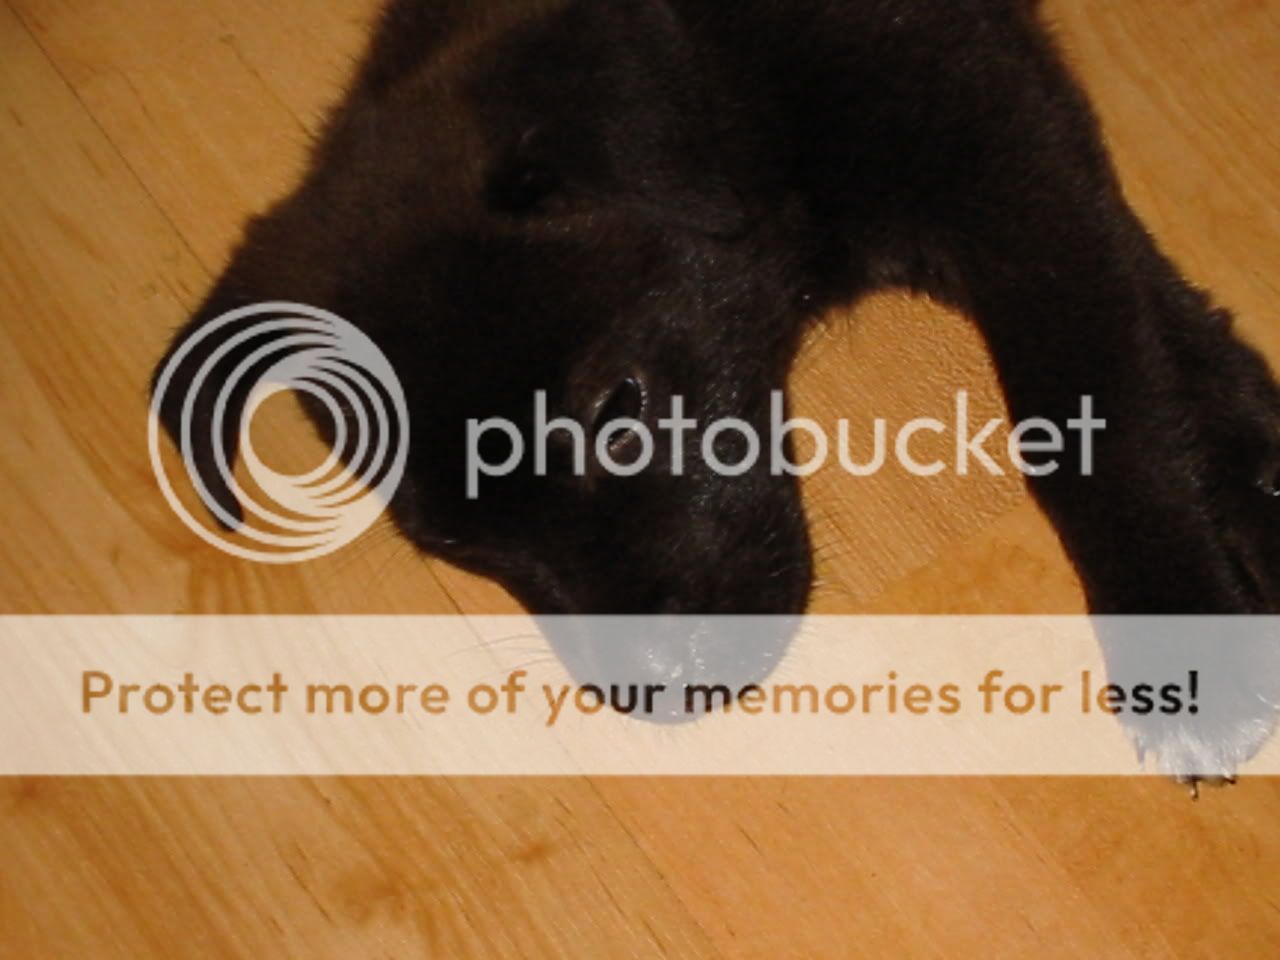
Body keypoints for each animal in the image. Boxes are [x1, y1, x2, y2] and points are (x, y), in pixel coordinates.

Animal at [154, 0, 1280, 772]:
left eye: (618, 413)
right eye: (454, 544)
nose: (664, 690)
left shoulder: (987, 128)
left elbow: (1093, 405)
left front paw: (1188, 654)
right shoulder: (1007, 127)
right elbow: (1137, 299)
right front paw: (1246, 449)